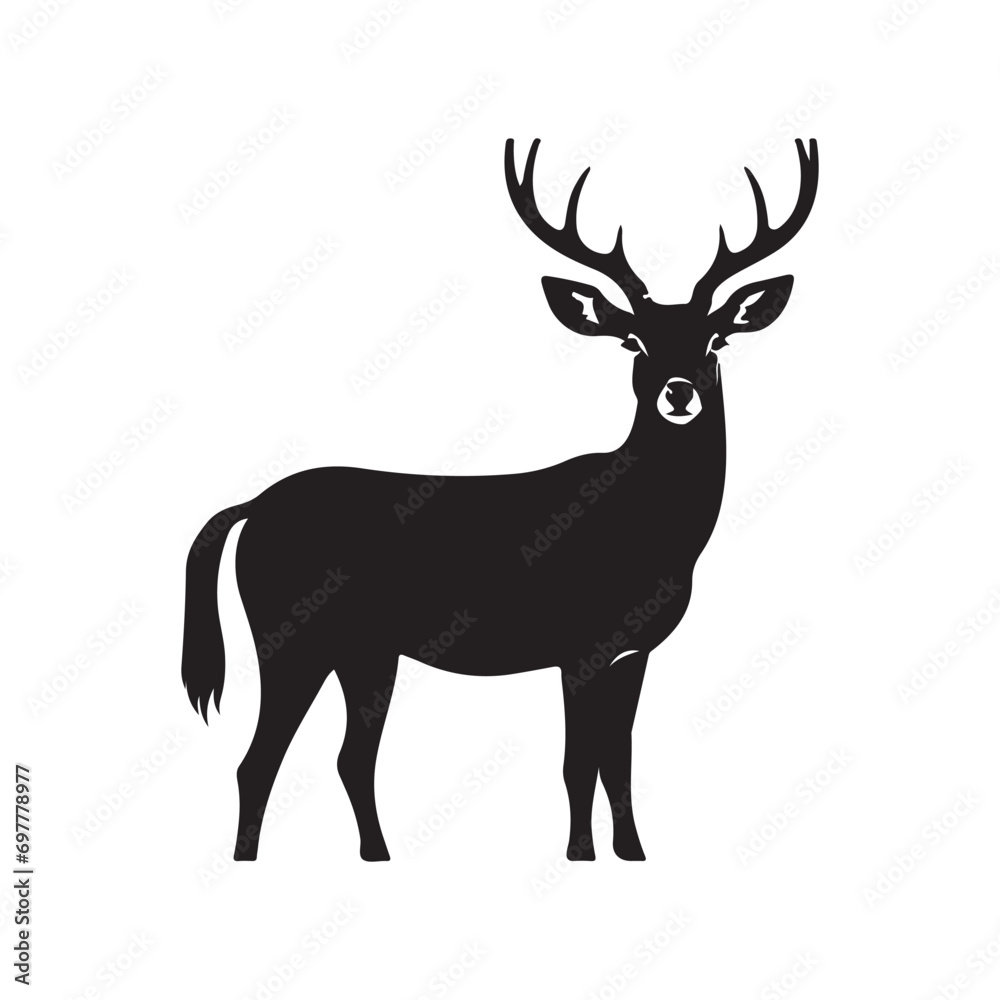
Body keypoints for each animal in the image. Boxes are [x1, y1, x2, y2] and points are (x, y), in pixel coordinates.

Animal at [181, 136, 818, 863]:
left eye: (717, 338)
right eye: (633, 339)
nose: (677, 391)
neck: (648, 533)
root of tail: (251, 508)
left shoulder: (632, 652)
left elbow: (620, 761)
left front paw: (633, 855)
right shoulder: (581, 642)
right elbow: (579, 764)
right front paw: (580, 857)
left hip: (364, 649)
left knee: (351, 757)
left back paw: (381, 856)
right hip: (289, 634)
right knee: (258, 761)